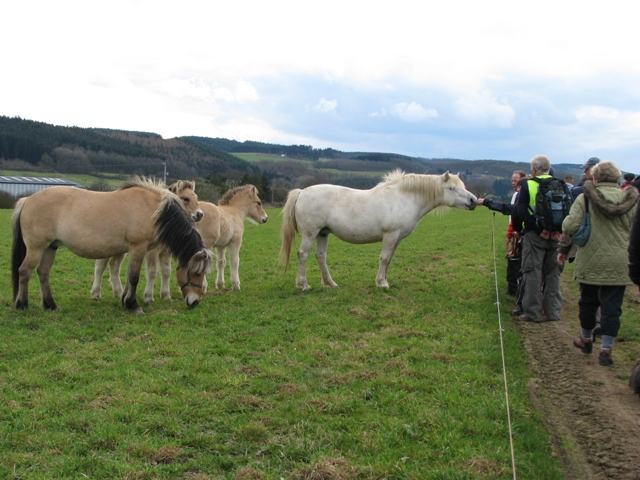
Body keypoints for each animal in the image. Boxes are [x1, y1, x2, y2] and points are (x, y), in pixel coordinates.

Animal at [11, 178, 212, 314]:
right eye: (196, 273)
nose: (195, 301)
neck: (155, 210)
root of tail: (27, 200)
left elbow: (131, 276)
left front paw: (125, 300)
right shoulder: (138, 247)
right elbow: (134, 277)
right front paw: (133, 305)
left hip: (50, 248)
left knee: (43, 273)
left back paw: (51, 305)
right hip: (36, 248)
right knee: (24, 271)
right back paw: (22, 304)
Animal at [278, 169, 476, 288]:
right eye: (451, 188)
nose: (473, 200)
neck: (404, 198)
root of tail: (302, 192)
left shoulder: (398, 238)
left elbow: (389, 260)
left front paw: (384, 280)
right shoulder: (390, 235)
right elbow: (384, 258)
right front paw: (382, 283)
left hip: (322, 233)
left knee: (320, 256)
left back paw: (331, 284)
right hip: (310, 233)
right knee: (303, 255)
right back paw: (303, 285)